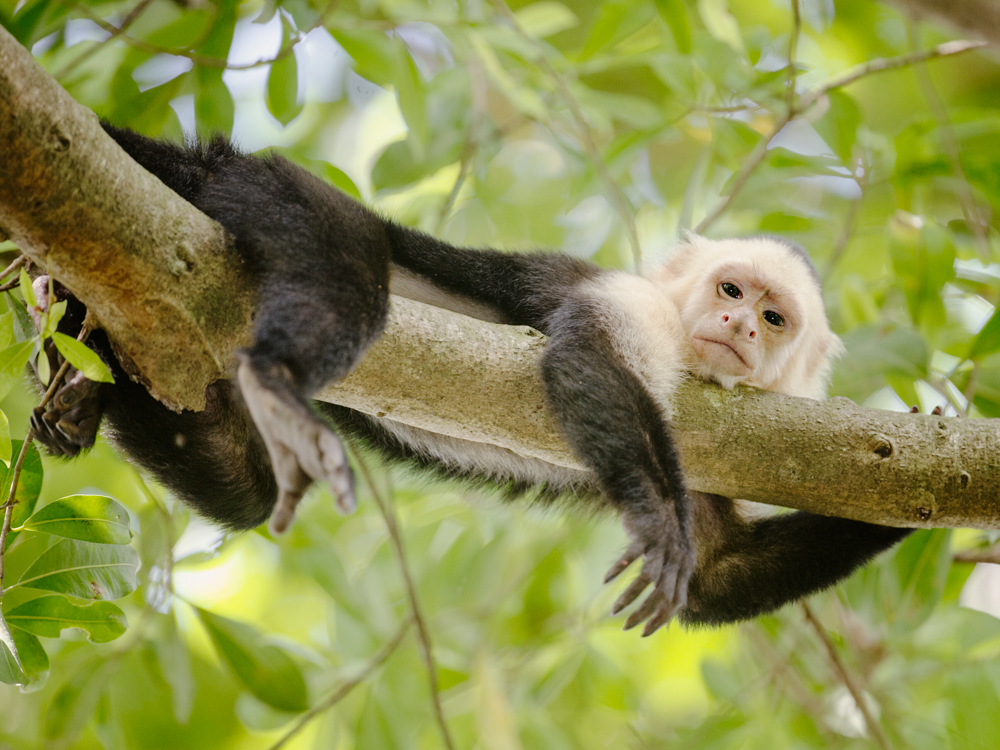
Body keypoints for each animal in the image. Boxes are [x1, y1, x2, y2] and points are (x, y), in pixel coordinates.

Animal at [25, 123, 916, 636]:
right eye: (731, 291)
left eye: (775, 318)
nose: (739, 328)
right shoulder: (637, 305)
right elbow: (587, 359)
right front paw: (661, 525)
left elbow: (721, 574)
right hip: (255, 188)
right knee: (349, 257)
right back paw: (270, 375)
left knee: (240, 477)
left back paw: (86, 379)